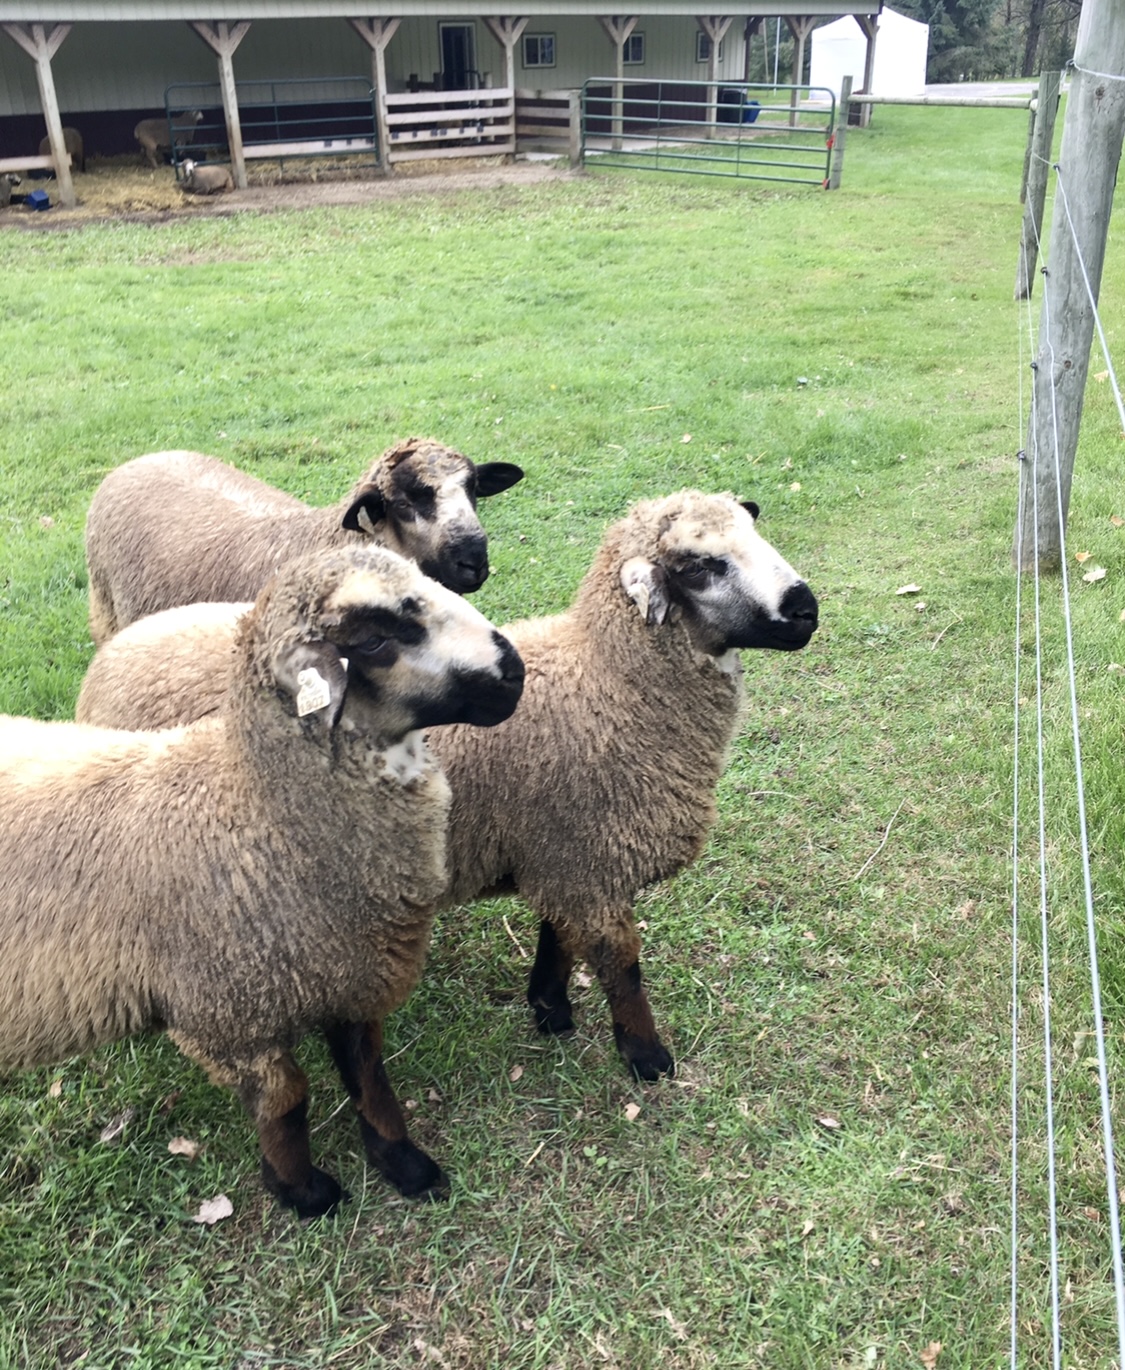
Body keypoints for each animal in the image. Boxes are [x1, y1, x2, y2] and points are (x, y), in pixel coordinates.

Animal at [76, 493, 816, 1079]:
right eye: (698, 566)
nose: (806, 609)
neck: (609, 684)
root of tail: (113, 658)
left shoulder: (560, 853)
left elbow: (556, 936)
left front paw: (549, 1010)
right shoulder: (591, 860)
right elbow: (620, 965)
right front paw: (647, 1059)